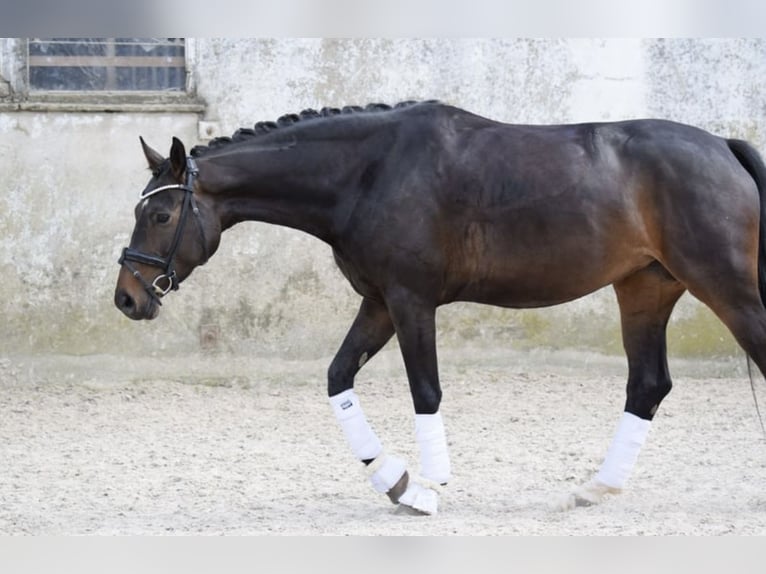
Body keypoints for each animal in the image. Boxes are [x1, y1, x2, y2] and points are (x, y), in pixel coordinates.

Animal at [114, 100, 766, 516]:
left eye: (161, 214)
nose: (127, 297)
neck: (367, 173)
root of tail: (723, 147)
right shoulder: (378, 303)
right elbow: (337, 377)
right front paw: (394, 482)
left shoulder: (411, 301)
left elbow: (425, 391)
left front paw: (427, 487)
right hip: (644, 290)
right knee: (647, 385)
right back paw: (592, 490)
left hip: (726, 286)